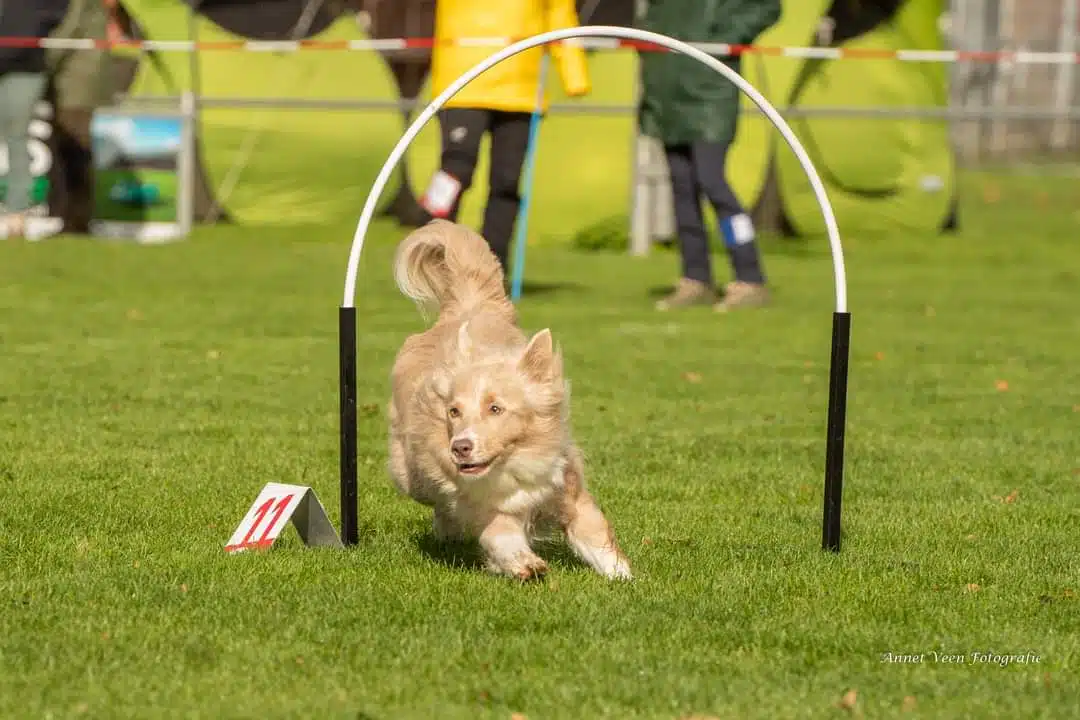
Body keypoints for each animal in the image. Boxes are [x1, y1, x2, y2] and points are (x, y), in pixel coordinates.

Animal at [386, 220, 630, 578]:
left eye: (496, 408)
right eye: (454, 411)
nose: (460, 447)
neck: (515, 462)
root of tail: (470, 306)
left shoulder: (566, 487)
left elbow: (594, 531)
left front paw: (623, 576)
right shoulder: (480, 504)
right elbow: (500, 533)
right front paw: (524, 564)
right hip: (411, 473)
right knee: (437, 501)